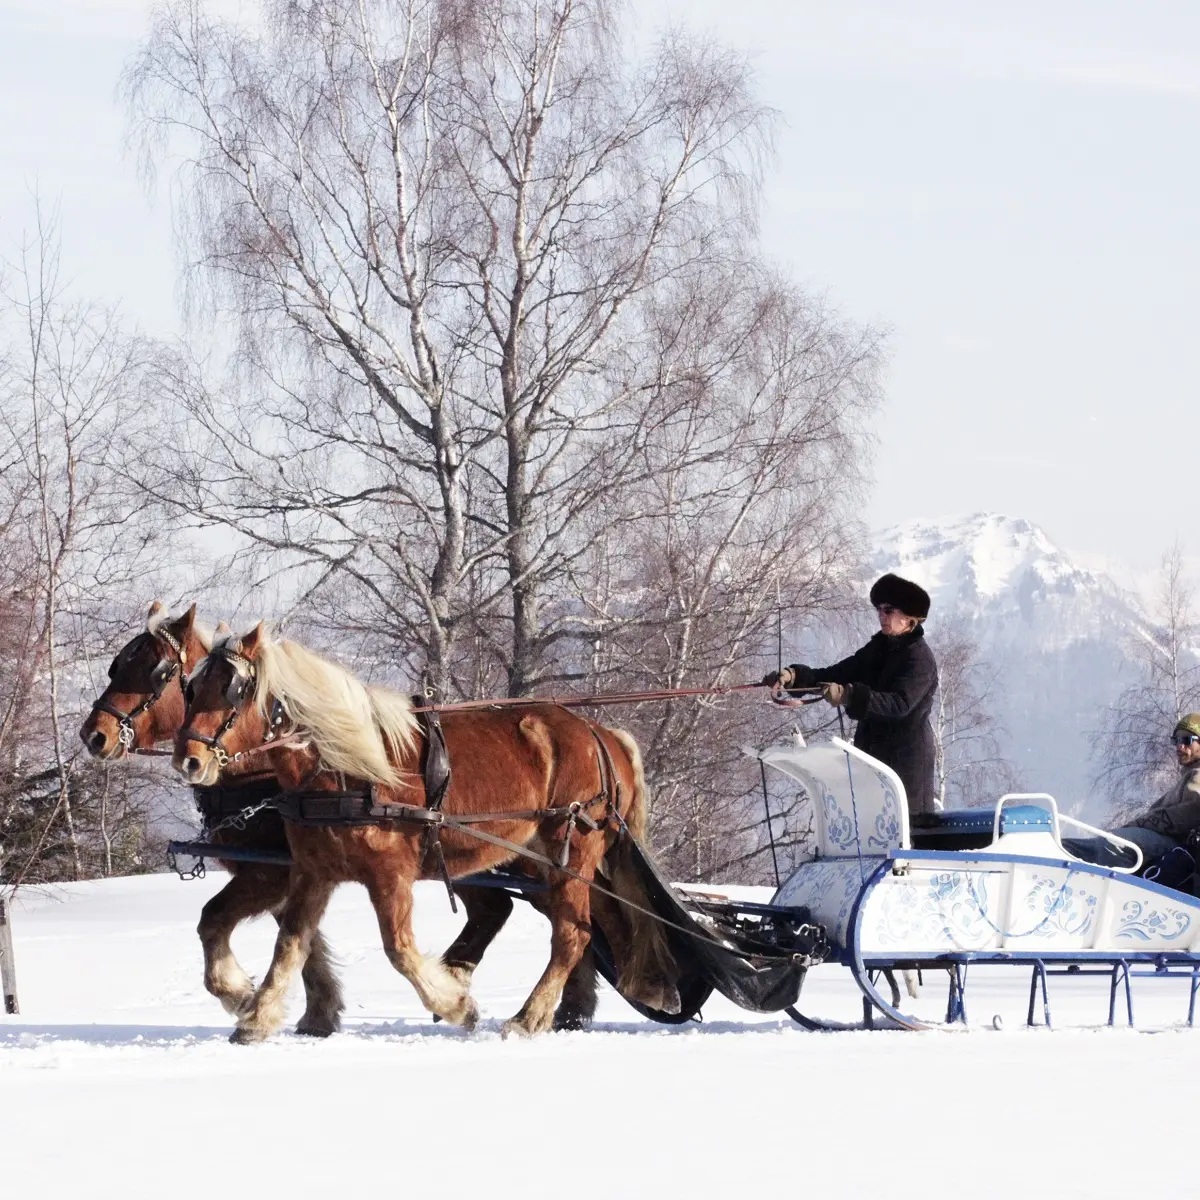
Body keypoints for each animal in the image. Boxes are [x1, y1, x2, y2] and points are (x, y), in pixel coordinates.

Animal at [79, 602, 345, 1036]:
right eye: (116, 666)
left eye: (157, 672)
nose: (94, 735)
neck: (262, 777)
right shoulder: (282, 877)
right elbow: (303, 937)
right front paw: (318, 1013)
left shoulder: (272, 873)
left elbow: (214, 919)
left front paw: (239, 995)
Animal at [173, 624, 678, 1043]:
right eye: (192, 687)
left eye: (235, 690)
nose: (189, 761)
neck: (347, 769)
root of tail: (600, 732)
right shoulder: (312, 871)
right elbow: (289, 946)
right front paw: (256, 1016)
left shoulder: (389, 873)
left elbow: (399, 950)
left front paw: (457, 1006)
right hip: (547, 860)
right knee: (596, 921)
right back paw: (641, 986)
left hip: (568, 848)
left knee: (572, 933)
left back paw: (529, 1017)